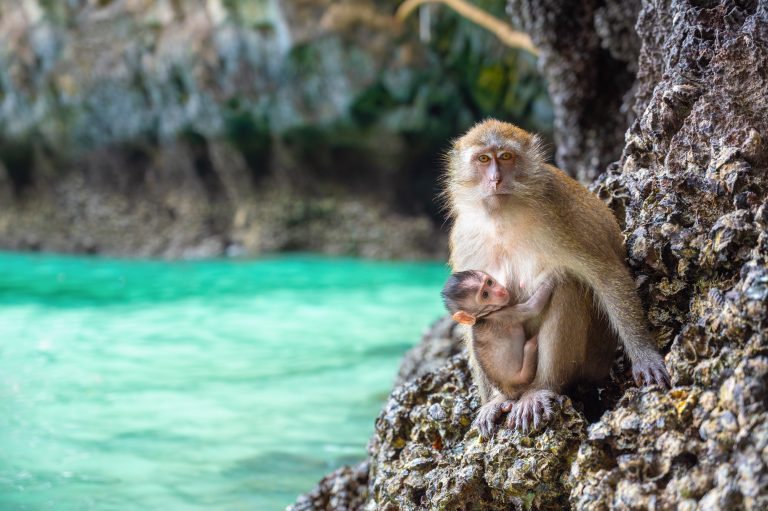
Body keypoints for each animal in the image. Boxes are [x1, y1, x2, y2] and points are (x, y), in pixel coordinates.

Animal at [441, 270, 555, 437]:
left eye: (489, 282)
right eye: (485, 295)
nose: (501, 291)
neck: (483, 317)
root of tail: (509, 391)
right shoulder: (505, 314)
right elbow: (533, 307)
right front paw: (550, 280)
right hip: (523, 376)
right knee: (529, 347)